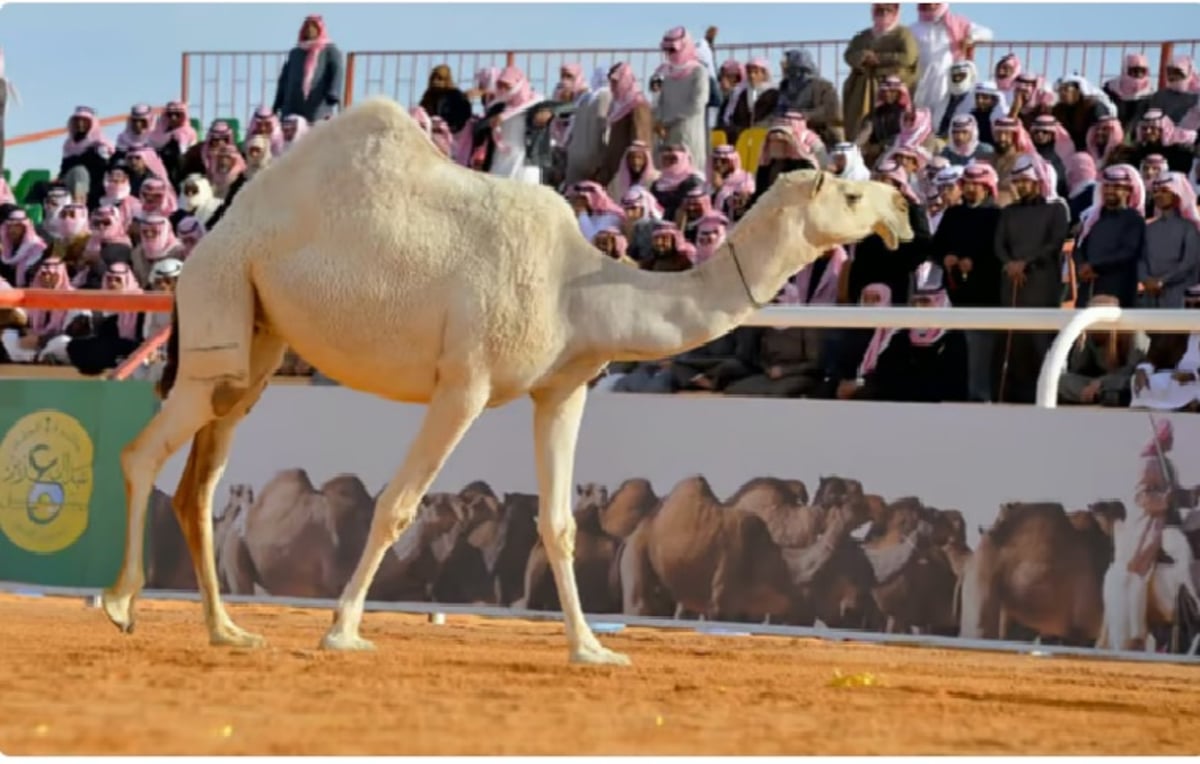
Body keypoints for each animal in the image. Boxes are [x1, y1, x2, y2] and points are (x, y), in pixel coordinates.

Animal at [98, 96, 912, 662]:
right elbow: (397, 505)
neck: (577, 286)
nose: (903, 208)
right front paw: (343, 631)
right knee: (144, 452)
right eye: (848, 195)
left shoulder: (562, 390)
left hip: (257, 341)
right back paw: (120, 605)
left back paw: (227, 630)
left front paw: (592, 650)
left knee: (201, 479)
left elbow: (560, 523)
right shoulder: (466, 382)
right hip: (221, 305)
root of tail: (210, 239)